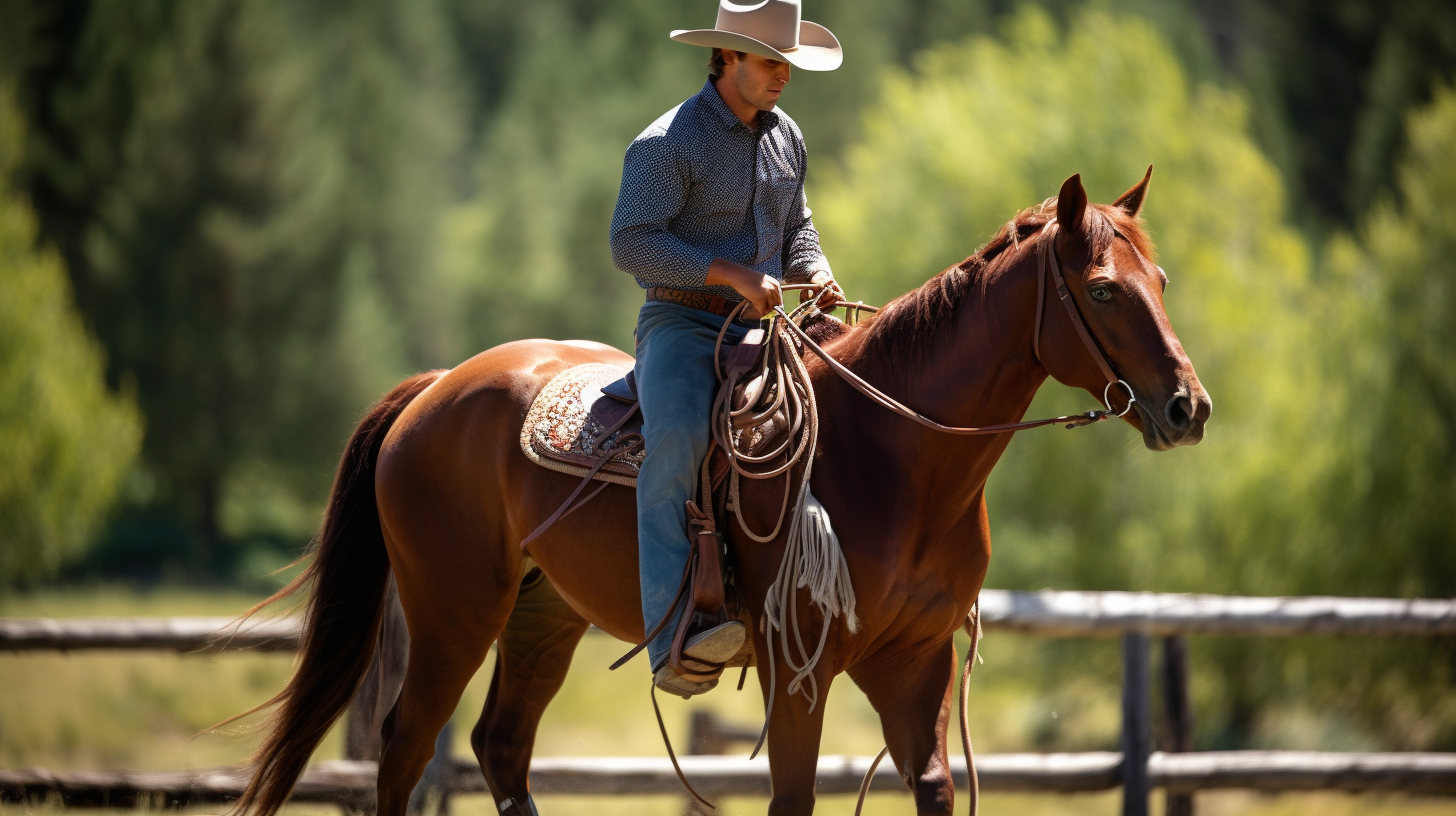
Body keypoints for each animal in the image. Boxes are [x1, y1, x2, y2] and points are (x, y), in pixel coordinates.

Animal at [232, 171, 1205, 816]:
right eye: (1104, 291)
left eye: (1161, 282)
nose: (1188, 407)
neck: (896, 454)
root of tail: (435, 389)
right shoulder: (797, 668)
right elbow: (792, 800)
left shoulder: (915, 660)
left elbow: (930, 788)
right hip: (452, 610)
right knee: (405, 747)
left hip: (543, 615)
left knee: (501, 747)